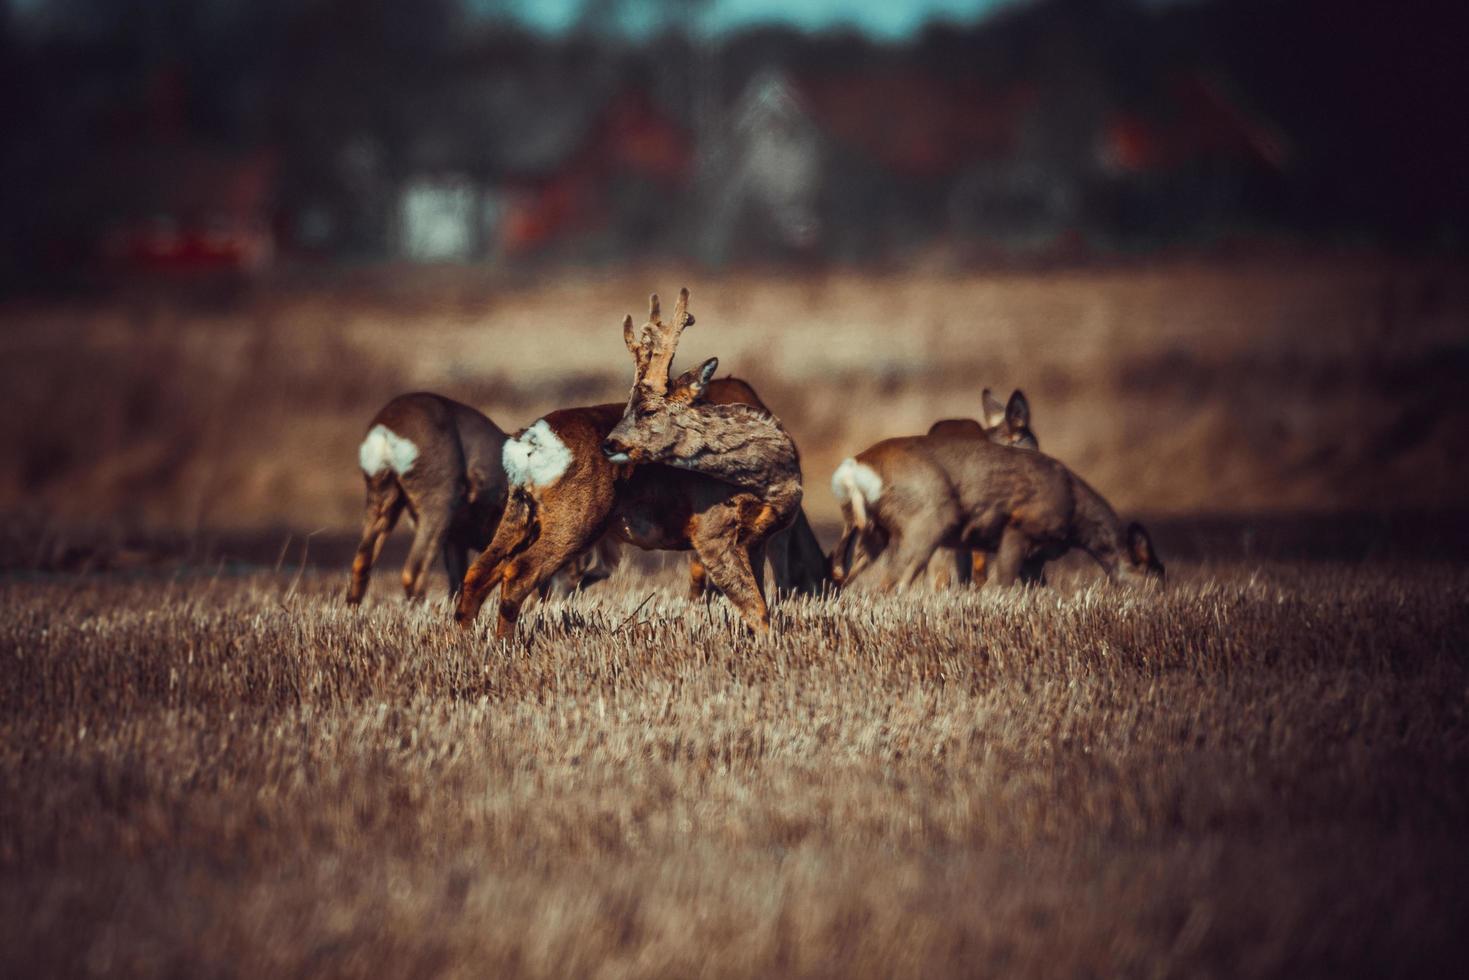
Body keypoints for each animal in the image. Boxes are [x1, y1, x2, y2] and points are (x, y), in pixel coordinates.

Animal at [455, 289, 810, 637]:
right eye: (626, 406)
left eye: (648, 411)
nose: (609, 443)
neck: (772, 475)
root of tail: (526, 442)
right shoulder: (712, 531)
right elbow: (758, 612)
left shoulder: (757, 541)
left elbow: (759, 603)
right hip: (576, 515)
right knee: (517, 574)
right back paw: (503, 642)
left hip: (520, 509)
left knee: (478, 572)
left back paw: (465, 641)